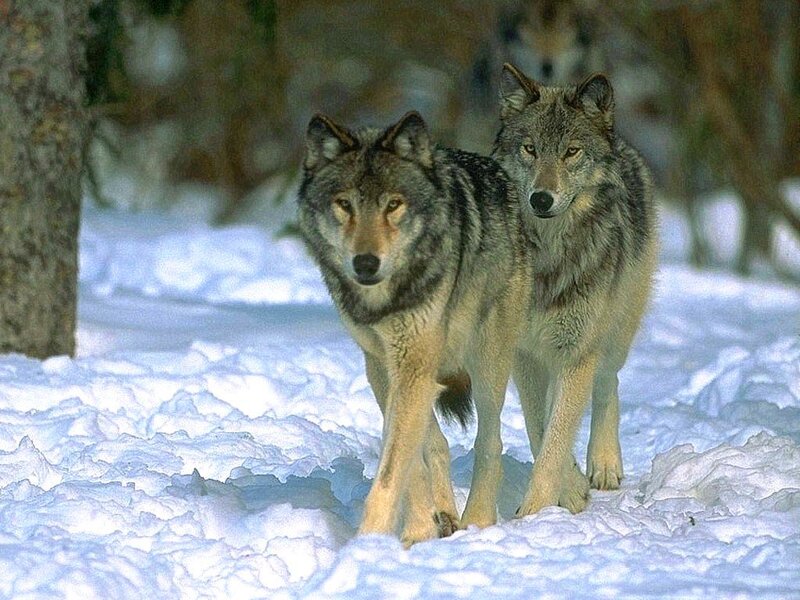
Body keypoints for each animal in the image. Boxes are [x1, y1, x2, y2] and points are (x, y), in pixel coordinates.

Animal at [298, 111, 532, 543]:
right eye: (344, 205)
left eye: (393, 205)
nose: (365, 263)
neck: (386, 300)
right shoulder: (383, 367)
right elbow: (411, 465)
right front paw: (418, 532)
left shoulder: (412, 367)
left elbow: (393, 474)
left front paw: (369, 543)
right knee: (437, 443)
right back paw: (447, 517)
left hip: (487, 361)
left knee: (489, 442)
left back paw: (477, 521)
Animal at [492, 63, 658, 515]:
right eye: (530, 149)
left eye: (571, 152)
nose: (541, 198)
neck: (549, 257)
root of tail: (625, 145)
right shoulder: (523, 354)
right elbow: (540, 427)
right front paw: (568, 491)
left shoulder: (575, 353)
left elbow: (556, 436)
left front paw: (535, 511)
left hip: (613, 334)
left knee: (608, 384)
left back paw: (604, 464)